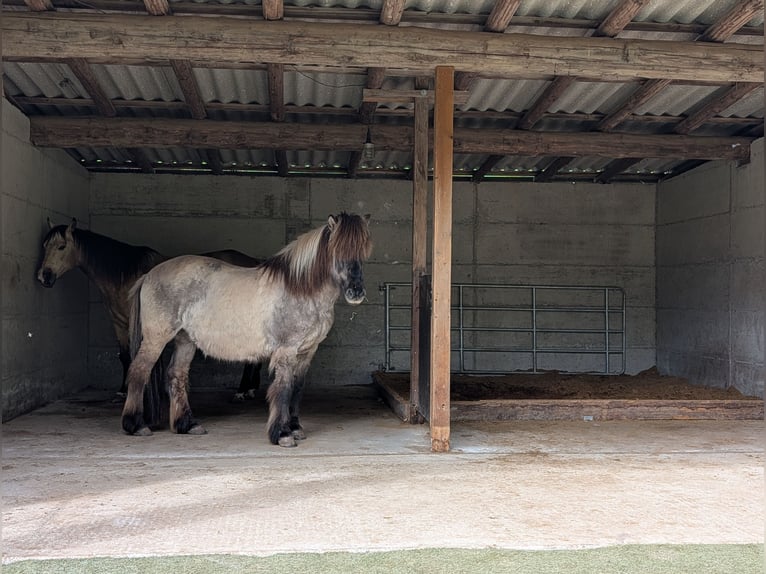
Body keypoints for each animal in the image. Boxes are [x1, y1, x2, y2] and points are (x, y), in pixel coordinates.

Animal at [36, 218, 264, 404]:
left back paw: (242, 391)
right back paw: (250, 389)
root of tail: (255, 262)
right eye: (45, 246)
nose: (44, 276)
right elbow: (125, 356)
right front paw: (122, 391)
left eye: (62, 247)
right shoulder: (119, 323)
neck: (125, 275)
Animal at [121, 212, 372, 447]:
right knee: (139, 372)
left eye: (363, 253)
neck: (301, 289)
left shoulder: (308, 351)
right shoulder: (286, 350)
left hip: (186, 341)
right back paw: (136, 425)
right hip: (156, 339)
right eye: (337, 251)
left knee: (176, 375)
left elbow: (297, 388)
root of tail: (148, 275)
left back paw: (188, 424)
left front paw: (295, 428)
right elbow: (283, 388)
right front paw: (282, 434)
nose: (356, 293)